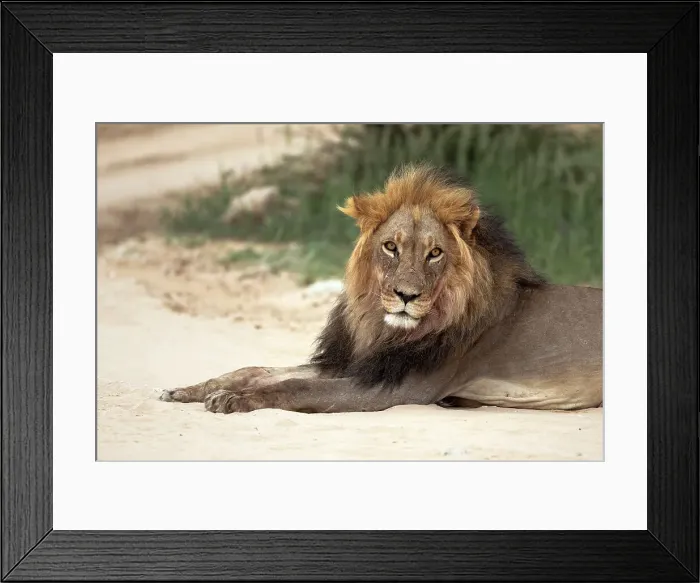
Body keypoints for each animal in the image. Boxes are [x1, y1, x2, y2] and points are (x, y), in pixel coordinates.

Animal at [160, 162, 602, 414]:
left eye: (435, 253)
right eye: (391, 247)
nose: (407, 296)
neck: (381, 326)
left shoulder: (392, 389)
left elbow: (294, 385)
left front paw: (235, 401)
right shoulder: (356, 363)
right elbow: (254, 371)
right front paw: (190, 390)